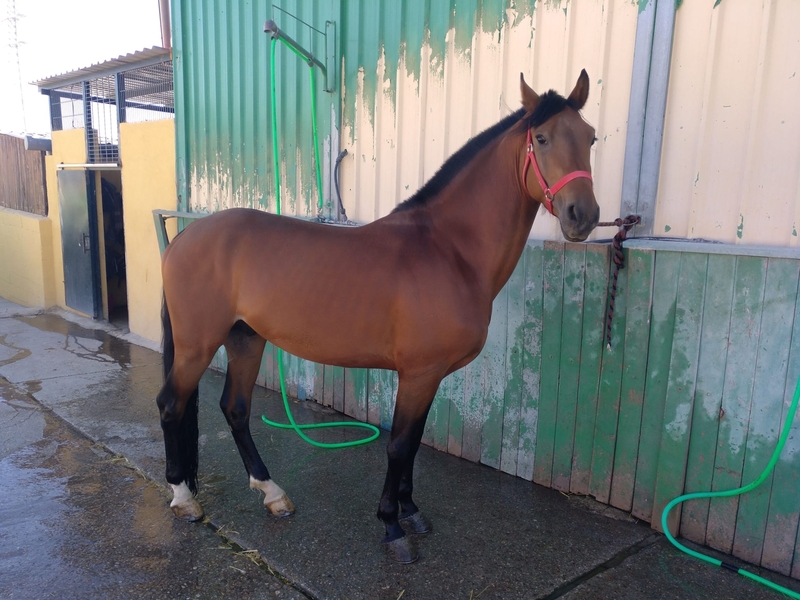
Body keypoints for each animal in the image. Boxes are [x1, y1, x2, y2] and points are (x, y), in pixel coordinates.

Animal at [156, 70, 600, 563]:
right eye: (541, 138)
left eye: (591, 137)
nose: (583, 215)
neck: (449, 249)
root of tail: (186, 237)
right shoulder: (419, 373)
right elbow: (400, 444)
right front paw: (392, 525)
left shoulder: (430, 376)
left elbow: (414, 443)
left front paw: (411, 511)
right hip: (197, 345)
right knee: (171, 404)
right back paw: (184, 498)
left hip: (245, 338)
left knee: (235, 409)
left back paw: (273, 494)